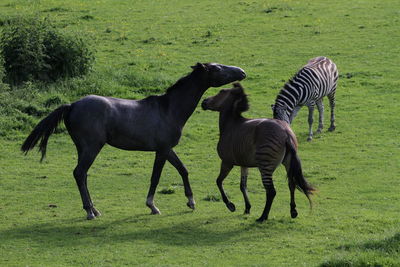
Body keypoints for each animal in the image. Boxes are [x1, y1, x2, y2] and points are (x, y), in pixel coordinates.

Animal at [23, 63, 245, 221]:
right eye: (217, 68)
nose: (241, 72)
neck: (169, 109)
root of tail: (72, 105)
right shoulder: (162, 150)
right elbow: (155, 177)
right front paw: (152, 206)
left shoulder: (167, 149)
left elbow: (183, 170)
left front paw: (191, 201)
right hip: (91, 148)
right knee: (79, 173)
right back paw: (89, 212)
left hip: (83, 149)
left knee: (83, 175)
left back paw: (95, 208)